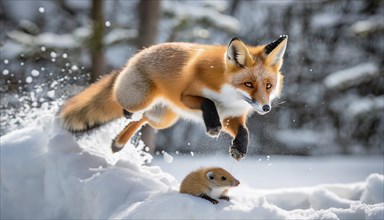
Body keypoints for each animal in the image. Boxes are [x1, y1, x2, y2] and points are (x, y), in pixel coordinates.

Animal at [59, 35, 288, 160]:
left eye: (268, 86)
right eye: (248, 84)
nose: (266, 108)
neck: (230, 98)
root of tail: (137, 55)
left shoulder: (231, 116)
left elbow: (244, 131)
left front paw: (239, 149)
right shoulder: (185, 97)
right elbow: (208, 102)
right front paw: (212, 126)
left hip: (163, 119)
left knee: (142, 119)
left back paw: (118, 142)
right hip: (140, 99)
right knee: (118, 99)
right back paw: (123, 113)